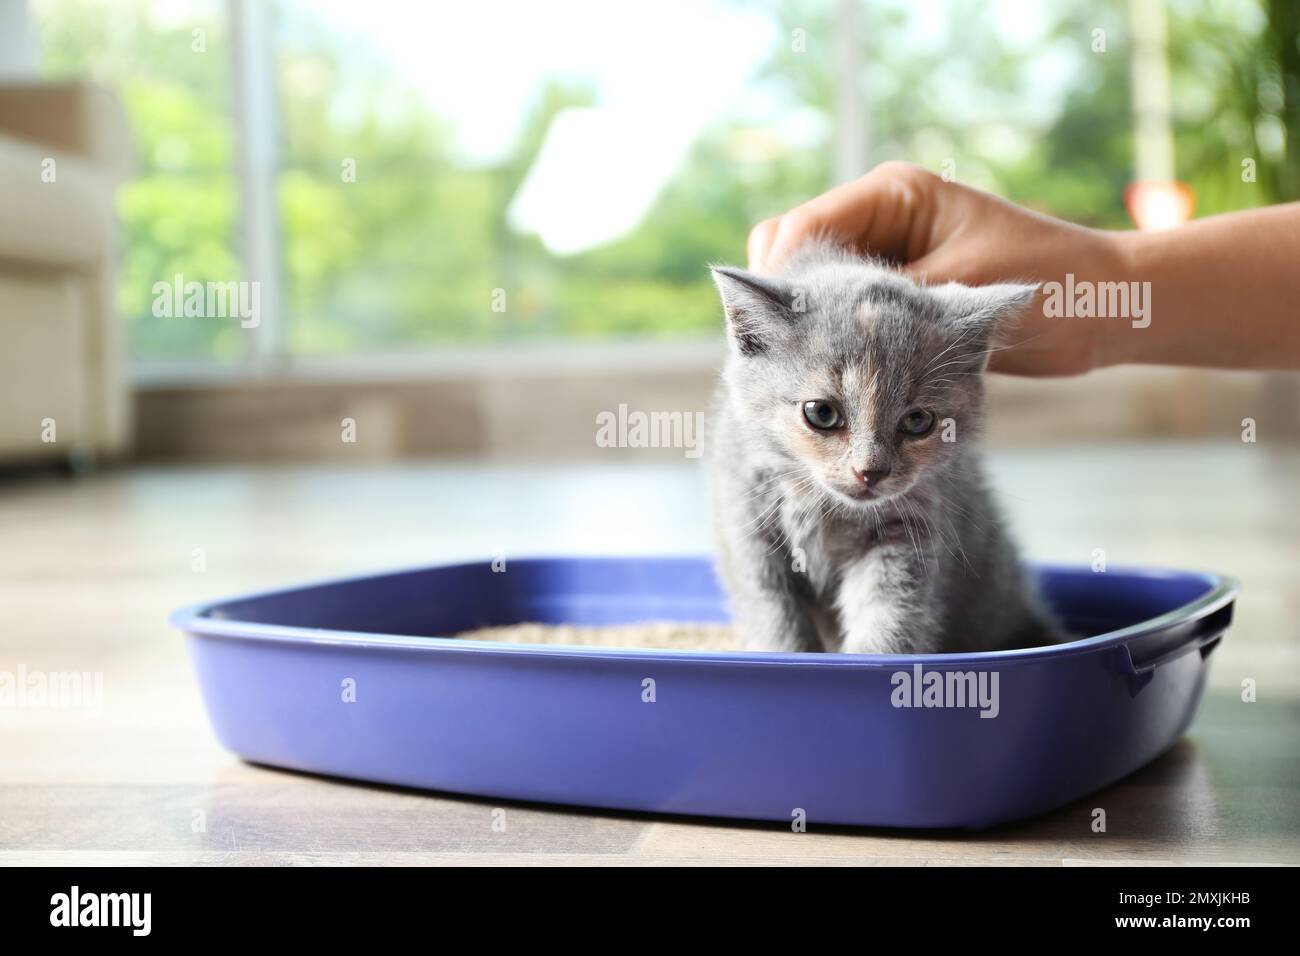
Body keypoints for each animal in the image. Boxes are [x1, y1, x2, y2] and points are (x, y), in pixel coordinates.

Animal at [712, 243, 1066, 655]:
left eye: (918, 421)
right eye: (821, 413)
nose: (870, 471)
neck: (827, 510)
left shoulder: (909, 529)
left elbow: (889, 612)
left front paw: (871, 660)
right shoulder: (750, 532)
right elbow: (774, 617)